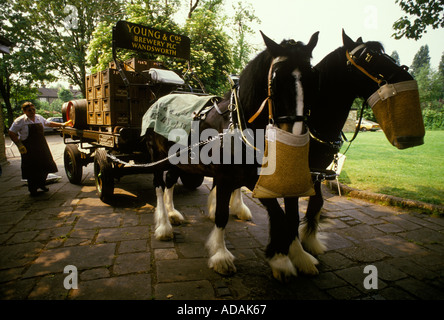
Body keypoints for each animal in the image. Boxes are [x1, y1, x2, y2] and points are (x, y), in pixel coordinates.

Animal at [144, 32, 320, 282]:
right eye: (275, 81)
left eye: (313, 78)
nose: (294, 136)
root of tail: (159, 99)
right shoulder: (228, 177)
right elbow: (223, 214)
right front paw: (222, 256)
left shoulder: (263, 179)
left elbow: (288, 217)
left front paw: (294, 257)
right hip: (157, 156)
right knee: (159, 185)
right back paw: (163, 226)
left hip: (180, 160)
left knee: (169, 182)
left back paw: (172, 213)